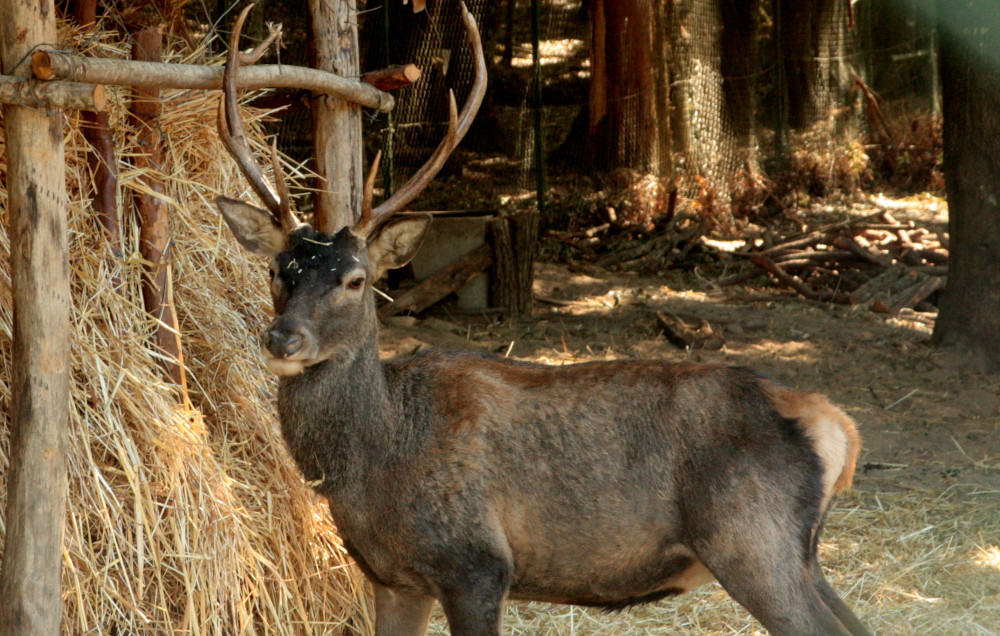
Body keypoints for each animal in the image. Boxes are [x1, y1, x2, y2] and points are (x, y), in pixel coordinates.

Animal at [215, 6, 872, 636]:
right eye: (277, 269)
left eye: (355, 280)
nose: (282, 337)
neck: (376, 463)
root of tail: (838, 427)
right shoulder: (393, 578)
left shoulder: (477, 565)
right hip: (798, 555)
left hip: (753, 540)